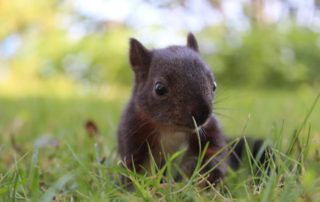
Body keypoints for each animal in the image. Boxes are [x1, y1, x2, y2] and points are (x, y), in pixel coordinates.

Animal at [116, 32, 272, 185]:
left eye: (214, 85)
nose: (202, 114)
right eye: (159, 88)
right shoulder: (133, 134)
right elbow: (136, 168)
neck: (172, 131)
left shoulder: (210, 131)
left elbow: (215, 155)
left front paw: (204, 176)